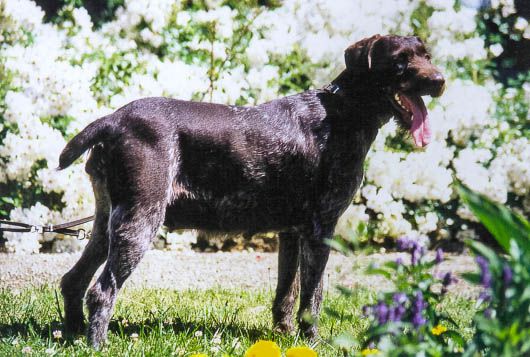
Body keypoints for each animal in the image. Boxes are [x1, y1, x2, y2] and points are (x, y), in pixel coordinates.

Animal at [58, 34, 442, 346]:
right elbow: (313, 296)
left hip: (108, 223)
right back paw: (97, 344)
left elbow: (286, 293)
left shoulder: (292, 233)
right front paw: (313, 341)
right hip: (140, 222)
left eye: (426, 55)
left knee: (73, 281)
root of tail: (113, 120)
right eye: (400, 60)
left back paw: (73, 335)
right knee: (101, 291)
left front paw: (284, 334)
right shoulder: (321, 229)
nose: (439, 81)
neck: (344, 112)